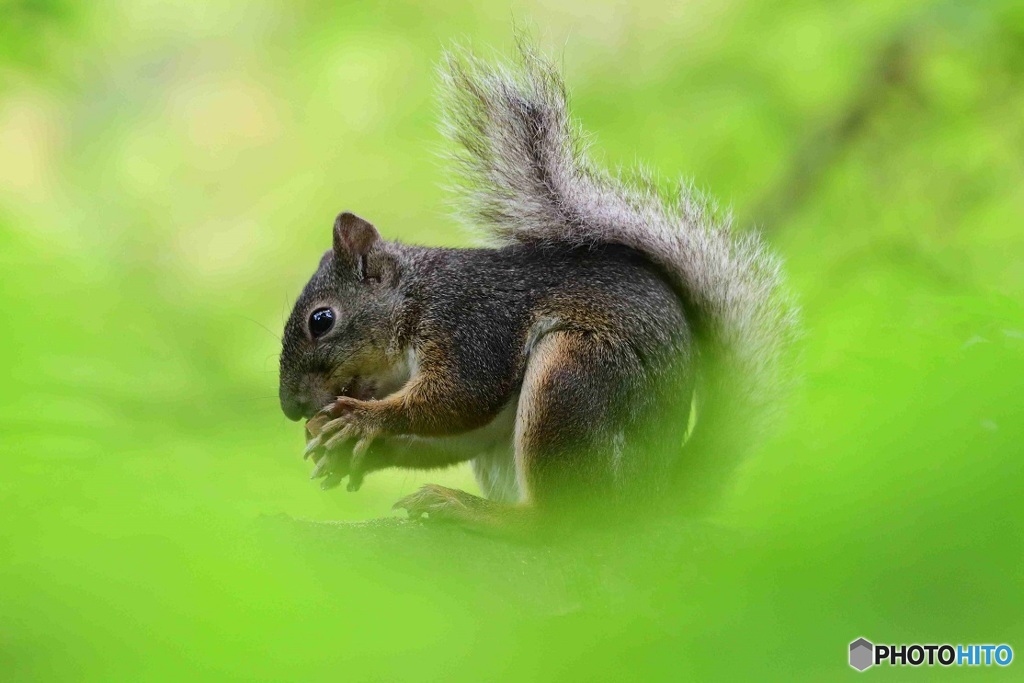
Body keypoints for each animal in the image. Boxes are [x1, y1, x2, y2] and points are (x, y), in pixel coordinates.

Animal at [278, 42, 798, 532]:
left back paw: (481, 514)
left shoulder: (471, 322)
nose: (292, 408)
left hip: (573, 376)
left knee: (558, 520)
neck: (416, 297)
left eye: (321, 320)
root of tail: (653, 499)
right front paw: (343, 446)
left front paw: (364, 418)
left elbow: (461, 396)